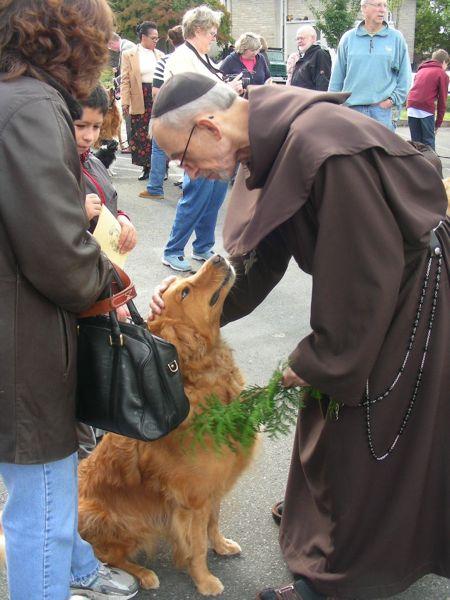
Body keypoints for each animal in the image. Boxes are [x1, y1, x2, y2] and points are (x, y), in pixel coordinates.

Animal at [78, 256, 256, 596]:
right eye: (185, 292)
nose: (218, 257)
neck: (200, 380)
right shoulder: (192, 499)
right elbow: (196, 546)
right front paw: (204, 581)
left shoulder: (212, 487)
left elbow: (214, 523)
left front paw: (221, 545)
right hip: (114, 519)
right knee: (105, 556)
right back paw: (142, 575)